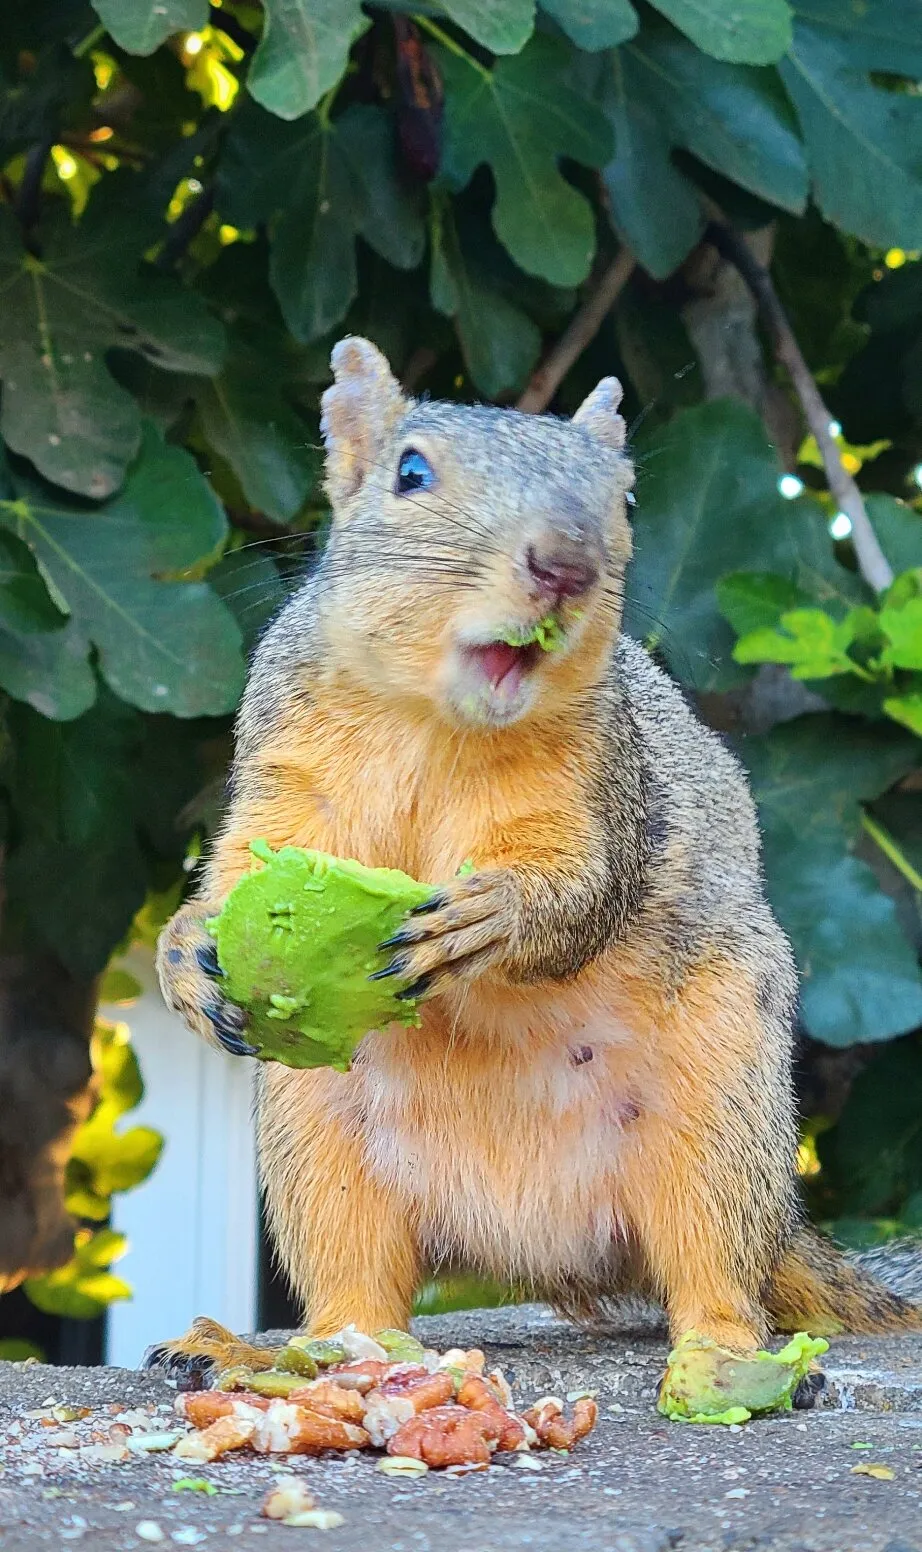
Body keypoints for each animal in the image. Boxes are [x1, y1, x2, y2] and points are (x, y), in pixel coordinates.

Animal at [150, 335, 920, 1382]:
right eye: (410, 473)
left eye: (622, 498)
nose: (566, 563)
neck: (436, 725)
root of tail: (537, 1249)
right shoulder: (291, 770)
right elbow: (245, 861)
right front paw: (184, 952)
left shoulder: (602, 788)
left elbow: (584, 889)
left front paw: (494, 915)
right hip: (316, 1141)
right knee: (354, 1284)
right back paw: (280, 1348)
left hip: (721, 1106)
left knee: (717, 1263)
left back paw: (725, 1356)